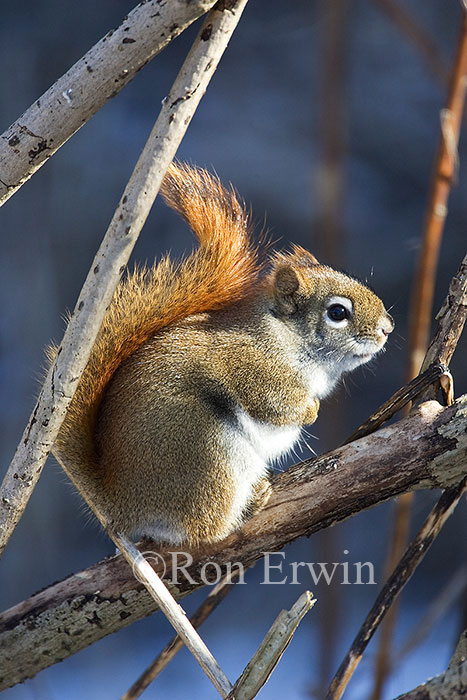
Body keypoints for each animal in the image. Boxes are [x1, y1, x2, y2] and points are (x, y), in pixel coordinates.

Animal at [51, 162, 394, 547]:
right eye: (337, 312)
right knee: (205, 529)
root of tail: (122, 505)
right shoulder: (250, 364)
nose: (388, 327)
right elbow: (274, 402)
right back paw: (249, 506)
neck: (286, 336)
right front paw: (310, 411)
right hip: (207, 451)